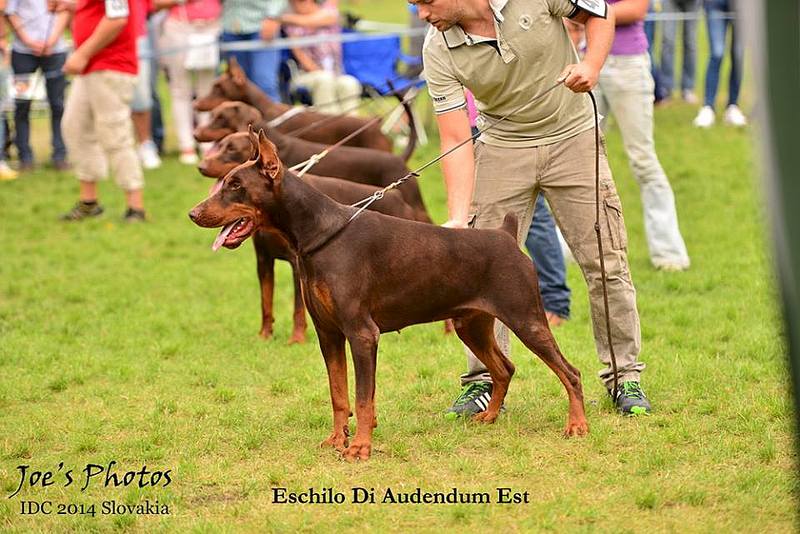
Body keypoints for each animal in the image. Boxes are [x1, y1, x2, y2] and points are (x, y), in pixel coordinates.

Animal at [202, 132, 418, 346]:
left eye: (232, 149)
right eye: (219, 145)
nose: (194, 213)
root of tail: (397, 196)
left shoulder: (296, 266)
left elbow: (298, 308)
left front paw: (297, 338)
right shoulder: (264, 261)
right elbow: (266, 301)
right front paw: (264, 336)